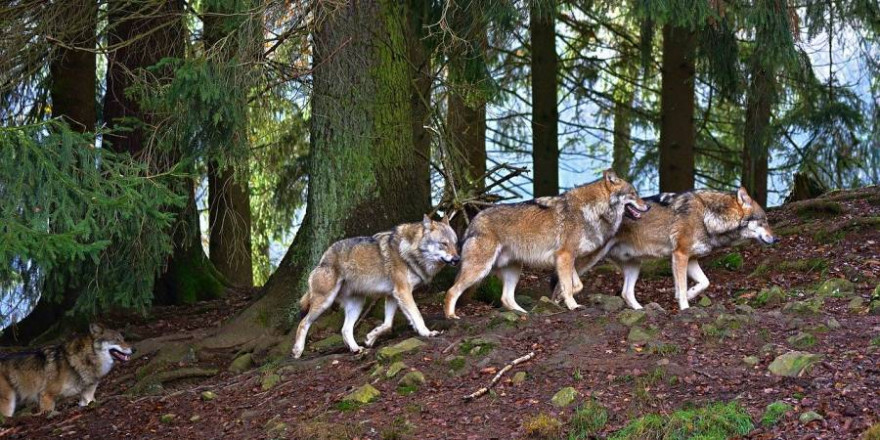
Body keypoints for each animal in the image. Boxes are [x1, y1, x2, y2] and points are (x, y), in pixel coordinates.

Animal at [0, 324, 134, 416]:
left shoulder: (88, 396)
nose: (134, 349)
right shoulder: (46, 395)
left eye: (123, 339)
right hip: (8, 404)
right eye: (117, 340)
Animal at [294, 215, 460, 360]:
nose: (458, 259)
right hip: (325, 302)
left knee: (345, 329)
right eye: (444, 243)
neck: (409, 251)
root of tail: (322, 259)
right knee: (303, 323)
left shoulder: (393, 295)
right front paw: (427, 333)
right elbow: (417, 315)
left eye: (455, 243)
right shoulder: (403, 292)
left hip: (357, 305)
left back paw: (356, 349)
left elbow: (387, 324)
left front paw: (371, 338)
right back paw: (297, 351)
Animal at [444, 169, 648, 320]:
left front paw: (558, 298)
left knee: (506, 298)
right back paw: (451, 316)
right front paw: (573, 305)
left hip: (513, 270)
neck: (593, 211)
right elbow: (569, 286)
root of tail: (473, 222)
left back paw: (525, 314)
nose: (648, 206)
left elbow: (576, 285)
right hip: (480, 269)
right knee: (452, 291)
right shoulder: (565, 256)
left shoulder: (566, 258)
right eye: (633, 194)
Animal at [560, 187, 780, 312]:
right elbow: (681, 287)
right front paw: (684, 306)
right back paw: (568, 301)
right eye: (764, 221)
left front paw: (691, 294)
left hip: (634, 264)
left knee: (626, 293)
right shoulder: (680, 255)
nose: (776, 238)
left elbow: (705, 282)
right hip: (590, 255)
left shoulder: (691, 259)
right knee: (564, 268)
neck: (707, 216)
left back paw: (641, 310)